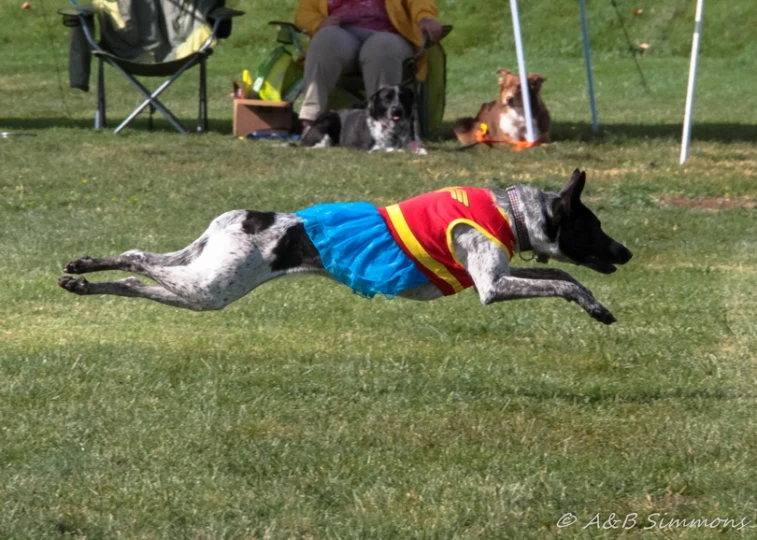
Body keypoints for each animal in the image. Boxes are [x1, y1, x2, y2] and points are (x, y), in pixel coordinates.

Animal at [59, 169, 632, 324]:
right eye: (595, 227)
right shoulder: (491, 285)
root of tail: (241, 218)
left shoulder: (499, 276)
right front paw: (593, 306)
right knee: (137, 261)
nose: (626, 253)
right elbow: (562, 284)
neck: (510, 211)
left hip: (202, 282)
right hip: (212, 286)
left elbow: (563, 276)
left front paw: (595, 305)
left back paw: (81, 275)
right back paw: (83, 271)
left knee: (134, 274)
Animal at [298, 85, 426, 154]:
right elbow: (390, 149)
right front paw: (400, 151)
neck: (395, 131)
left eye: (403, 97)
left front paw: (420, 151)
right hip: (331, 119)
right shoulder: (372, 148)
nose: (397, 110)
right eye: (387, 99)